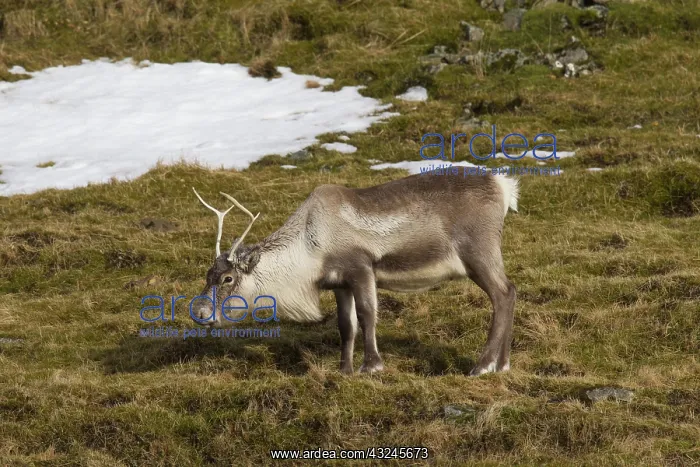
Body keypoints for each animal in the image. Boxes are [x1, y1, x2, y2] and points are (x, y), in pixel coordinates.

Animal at [191, 172, 519, 376]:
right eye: (207, 275)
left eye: (228, 278)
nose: (200, 312)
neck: (309, 248)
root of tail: (504, 187)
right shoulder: (339, 283)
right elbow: (346, 325)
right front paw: (344, 370)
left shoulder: (361, 268)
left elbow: (367, 315)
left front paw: (371, 365)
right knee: (510, 291)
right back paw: (502, 364)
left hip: (478, 253)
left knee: (503, 295)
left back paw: (482, 366)